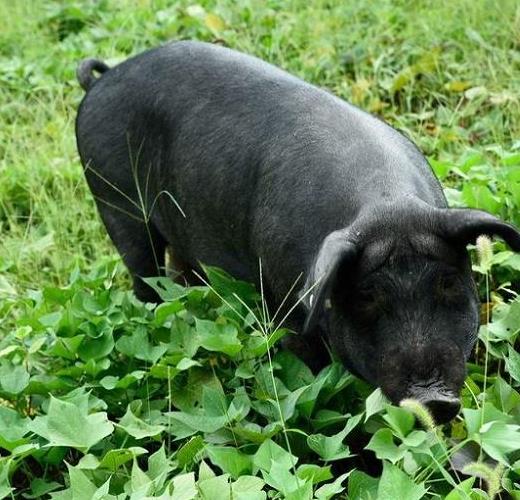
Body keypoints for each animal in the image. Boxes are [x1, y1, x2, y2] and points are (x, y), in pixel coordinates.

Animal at [74, 42, 520, 422]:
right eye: (367, 296)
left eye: (448, 282)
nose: (433, 398)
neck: (386, 204)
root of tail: (105, 78)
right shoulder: (284, 297)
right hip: (113, 200)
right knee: (143, 273)